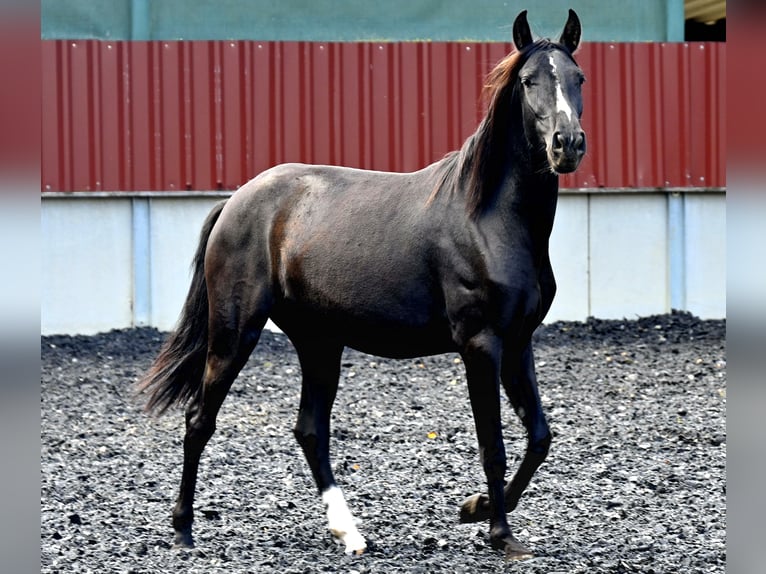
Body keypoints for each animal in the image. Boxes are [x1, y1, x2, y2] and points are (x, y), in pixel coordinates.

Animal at [137, 9, 586, 560]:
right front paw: (499, 532)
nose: (567, 145)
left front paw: (475, 509)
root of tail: (238, 199)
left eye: (578, 77)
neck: (490, 219)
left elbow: (540, 437)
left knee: (310, 430)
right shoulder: (480, 345)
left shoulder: (519, 342)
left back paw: (347, 532)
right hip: (234, 333)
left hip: (320, 343)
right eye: (527, 81)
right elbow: (494, 447)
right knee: (200, 418)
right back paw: (183, 528)